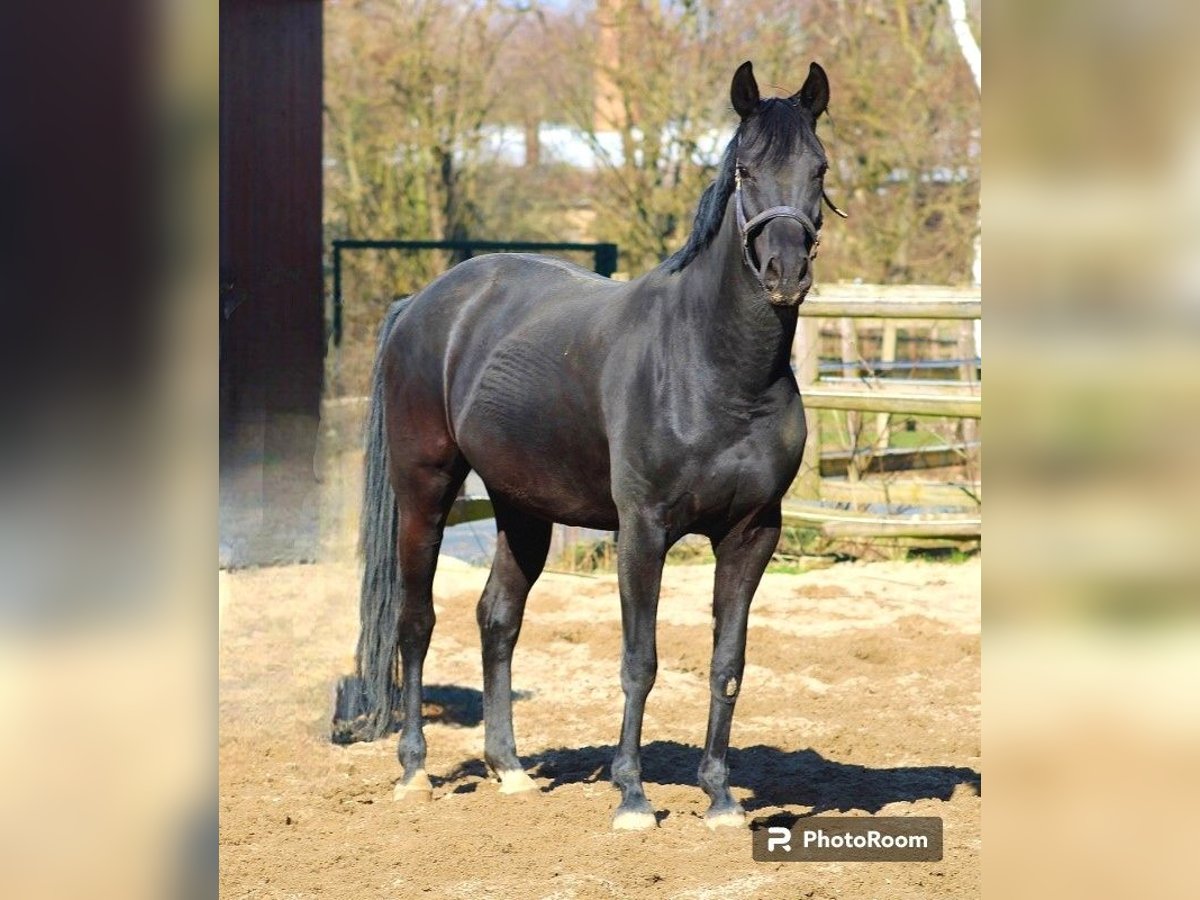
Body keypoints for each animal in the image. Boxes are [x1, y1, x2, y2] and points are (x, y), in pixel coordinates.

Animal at [352, 58, 844, 830]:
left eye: (818, 169)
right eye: (745, 168)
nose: (784, 273)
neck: (717, 368)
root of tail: (422, 304)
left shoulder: (752, 534)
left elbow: (727, 663)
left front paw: (720, 797)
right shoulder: (642, 531)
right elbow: (639, 661)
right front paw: (633, 796)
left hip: (522, 507)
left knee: (497, 618)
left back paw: (510, 768)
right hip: (424, 493)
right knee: (416, 623)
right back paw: (414, 771)